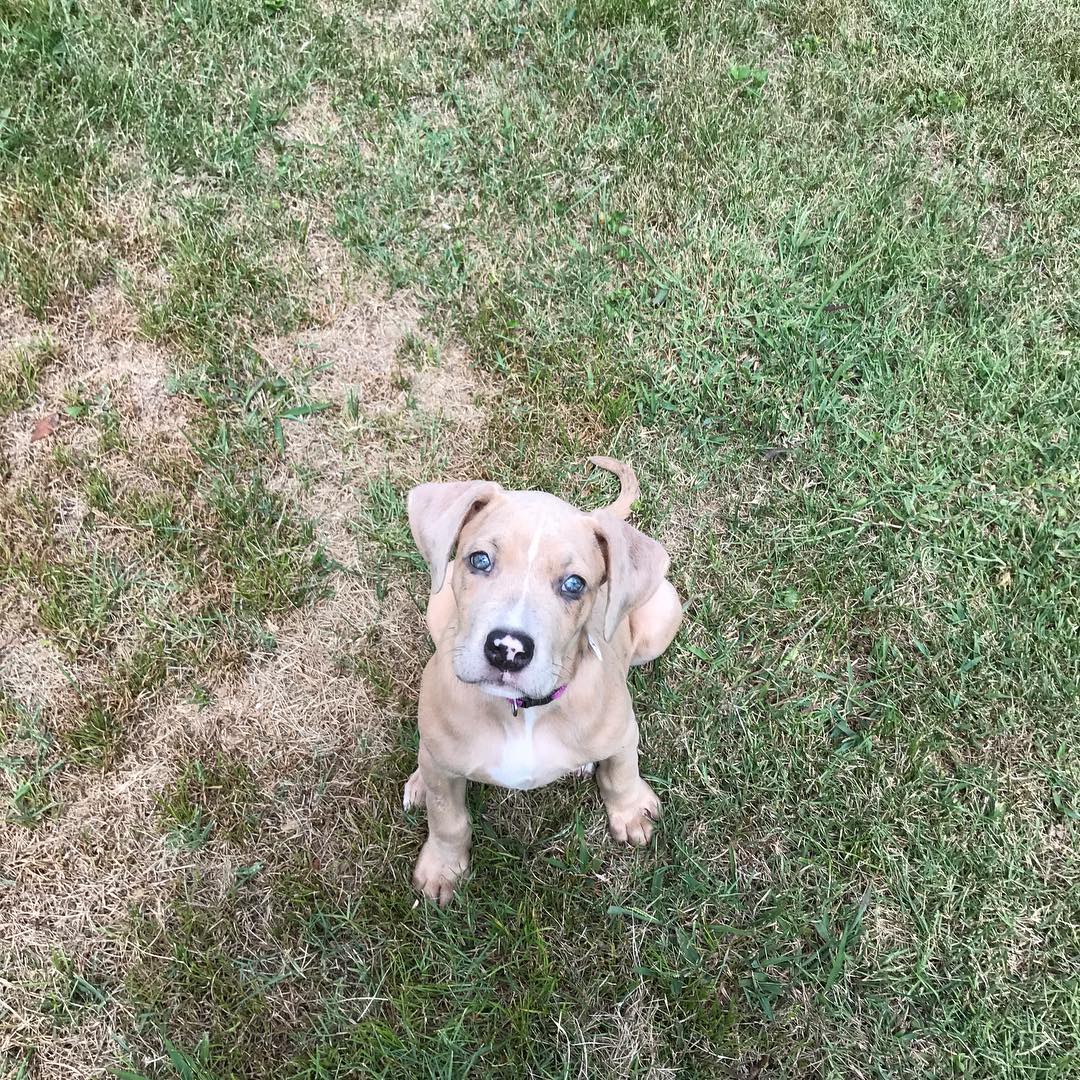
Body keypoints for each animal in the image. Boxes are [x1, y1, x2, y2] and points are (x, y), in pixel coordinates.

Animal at [406, 453, 682, 902]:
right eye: (479, 559)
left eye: (574, 584)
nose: (508, 648)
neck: (522, 712)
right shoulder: (444, 775)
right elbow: (448, 818)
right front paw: (442, 868)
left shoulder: (624, 731)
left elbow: (622, 772)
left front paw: (630, 812)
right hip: (437, 604)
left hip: (664, 616)